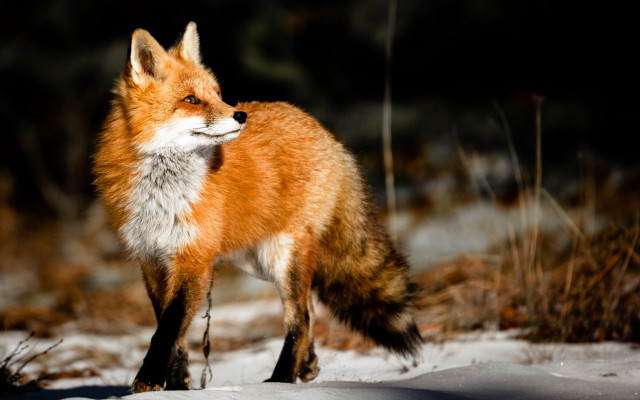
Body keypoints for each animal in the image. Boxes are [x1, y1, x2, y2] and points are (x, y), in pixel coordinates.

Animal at [93, 22, 422, 392]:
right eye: (191, 100)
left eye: (218, 93)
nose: (240, 115)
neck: (162, 193)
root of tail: (323, 131)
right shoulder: (151, 259)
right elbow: (172, 331)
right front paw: (178, 386)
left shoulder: (193, 258)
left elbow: (168, 329)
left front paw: (148, 380)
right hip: (257, 262)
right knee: (309, 309)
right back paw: (307, 365)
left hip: (282, 257)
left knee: (300, 319)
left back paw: (280, 382)